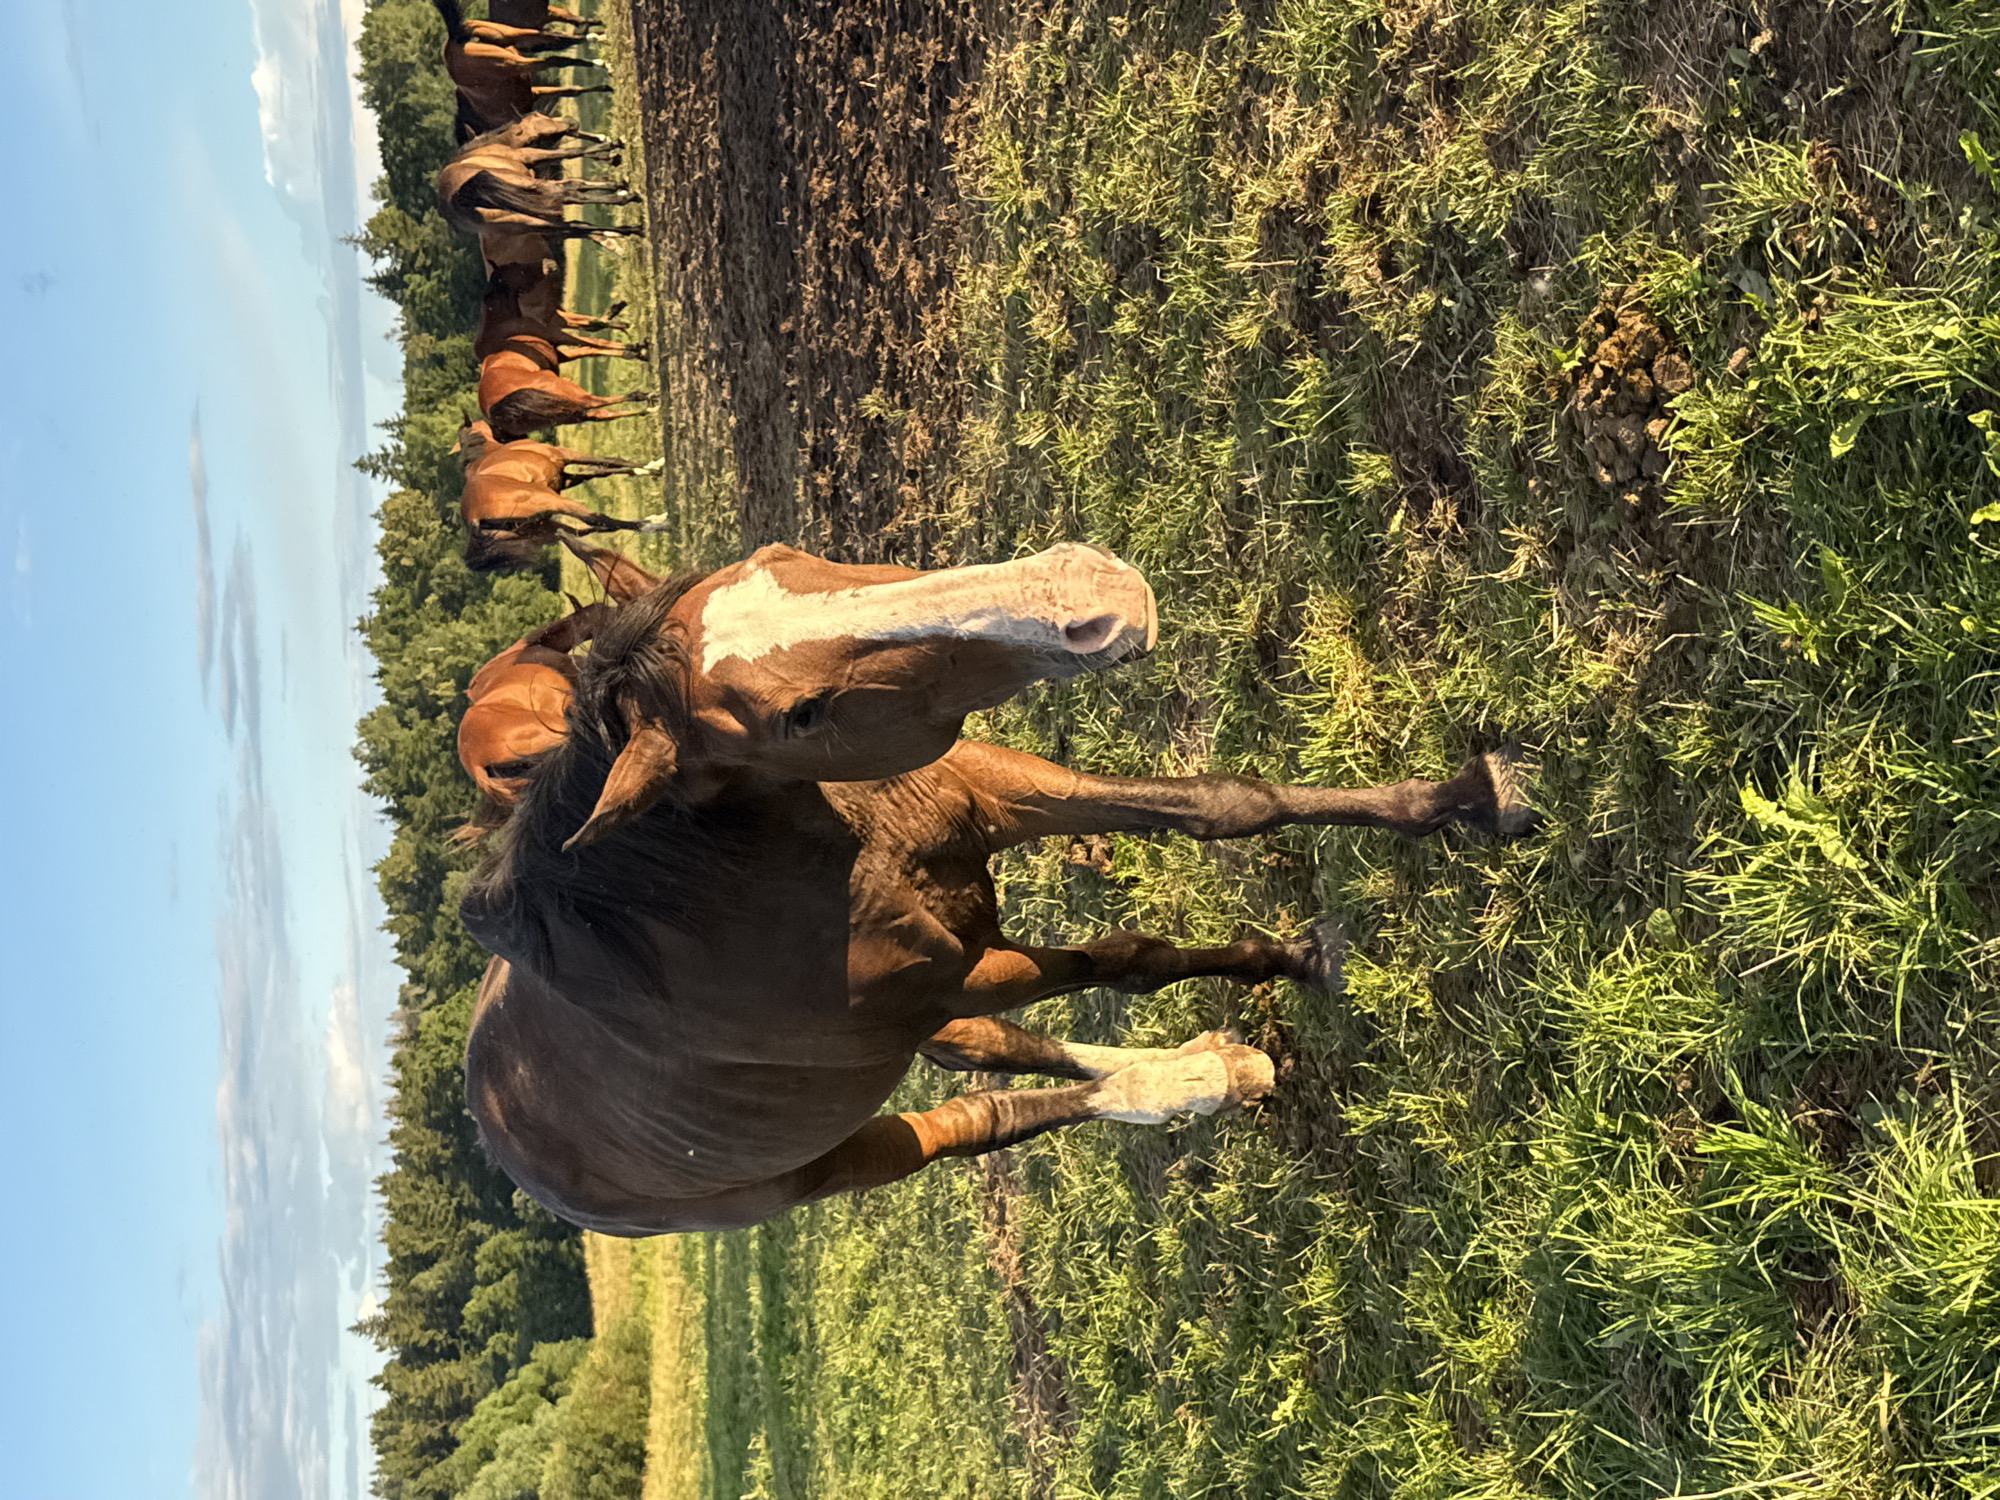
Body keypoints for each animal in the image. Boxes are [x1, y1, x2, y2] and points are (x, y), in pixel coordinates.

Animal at [453, 418, 666, 570]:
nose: (520, 432)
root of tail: (472, 517)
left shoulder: (564, 478)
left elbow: (601, 470)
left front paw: (648, 469)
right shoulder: (565, 456)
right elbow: (609, 460)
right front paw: (655, 466)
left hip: (546, 527)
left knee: (586, 529)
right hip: (552, 501)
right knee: (596, 518)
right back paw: (657, 523)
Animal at [458, 541, 1538, 1235]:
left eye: (788, 555)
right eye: (796, 713)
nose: (1087, 588)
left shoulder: (987, 793)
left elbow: (1221, 808)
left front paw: (1463, 799)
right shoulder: (953, 977)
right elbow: (1123, 962)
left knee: (1029, 1060)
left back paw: (1198, 1072)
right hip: (836, 1158)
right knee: (985, 1120)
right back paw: (1194, 1080)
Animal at [480, 341, 656, 439]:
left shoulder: (562, 353)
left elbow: (589, 349)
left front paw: (635, 350)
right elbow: (591, 347)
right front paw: (638, 349)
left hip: (565, 415)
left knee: (600, 414)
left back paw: (646, 409)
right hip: (568, 397)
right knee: (594, 402)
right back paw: (643, 397)